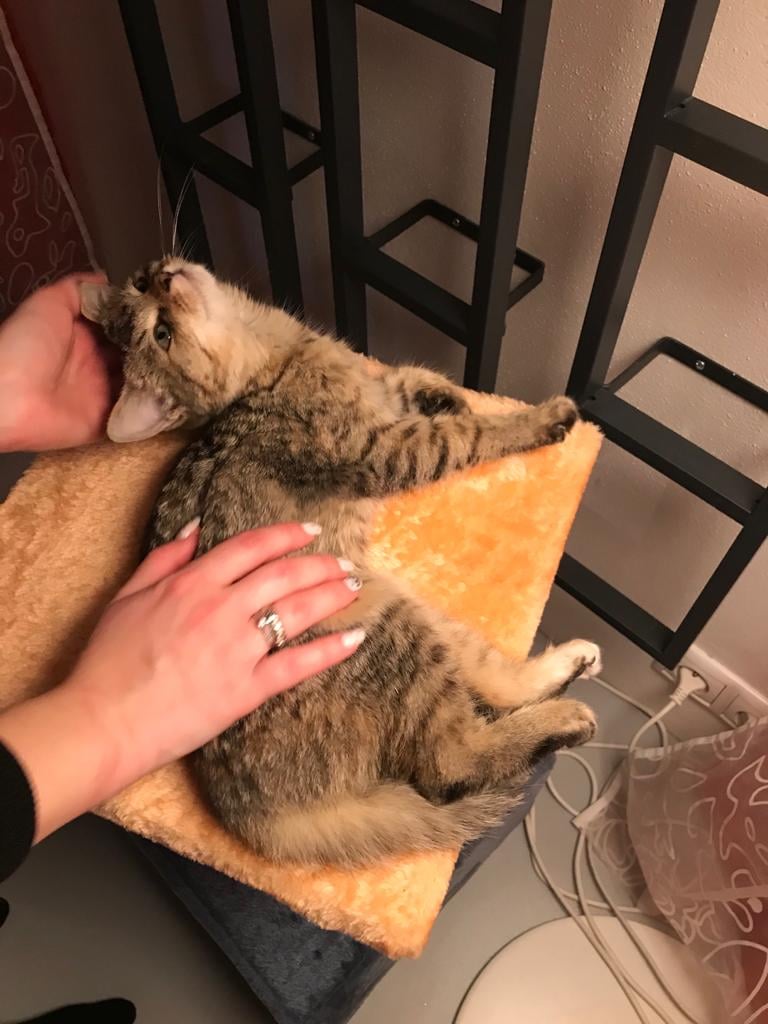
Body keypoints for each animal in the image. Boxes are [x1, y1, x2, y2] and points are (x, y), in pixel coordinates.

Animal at [80, 257, 600, 867]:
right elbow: (469, 433)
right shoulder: (392, 450)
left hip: (411, 610)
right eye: (159, 333)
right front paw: (541, 417)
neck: (275, 348)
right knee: (449, 764)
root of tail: (250, 816)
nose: (163, 276)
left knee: (492, 685)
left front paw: (445, 392)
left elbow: (409, 376)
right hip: (385, 628)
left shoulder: (381, 392)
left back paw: (571, 663)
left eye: (143, 286)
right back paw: (564, 720)